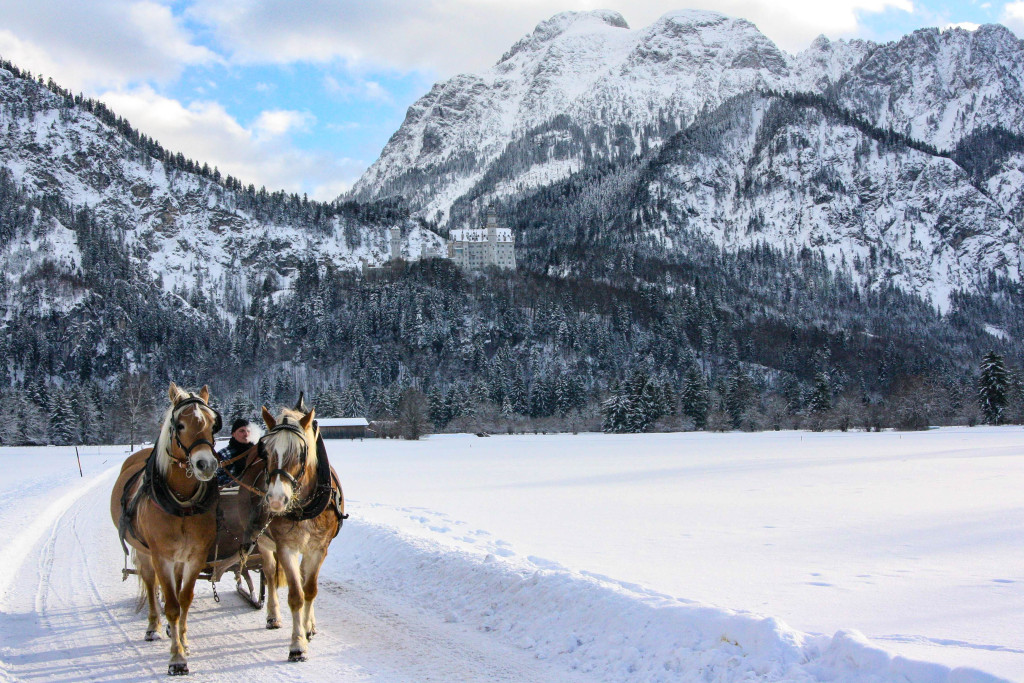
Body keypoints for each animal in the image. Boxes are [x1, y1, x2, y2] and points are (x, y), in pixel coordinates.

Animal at [108, 382, 220, 675]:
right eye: (180, 425)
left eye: (213, 424)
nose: (206, 465)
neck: (181, 505)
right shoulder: (161, 557)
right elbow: (170, 605)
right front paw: (177, 659)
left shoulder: (195, 556)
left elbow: (184, 600)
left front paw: (184, 641)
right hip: (145, 553)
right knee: (150, 585)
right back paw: (153, 627)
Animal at [242, 395, 344, 663]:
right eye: (265, 451)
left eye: (300, 453)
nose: (276, 500)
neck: (305, 505)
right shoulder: (285, 547)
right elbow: (296, 596)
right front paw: (297, 645)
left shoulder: (318, 548)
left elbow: (309, 590)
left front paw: (307, 628)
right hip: (264, 543)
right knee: (268, 574)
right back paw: (272, 616)